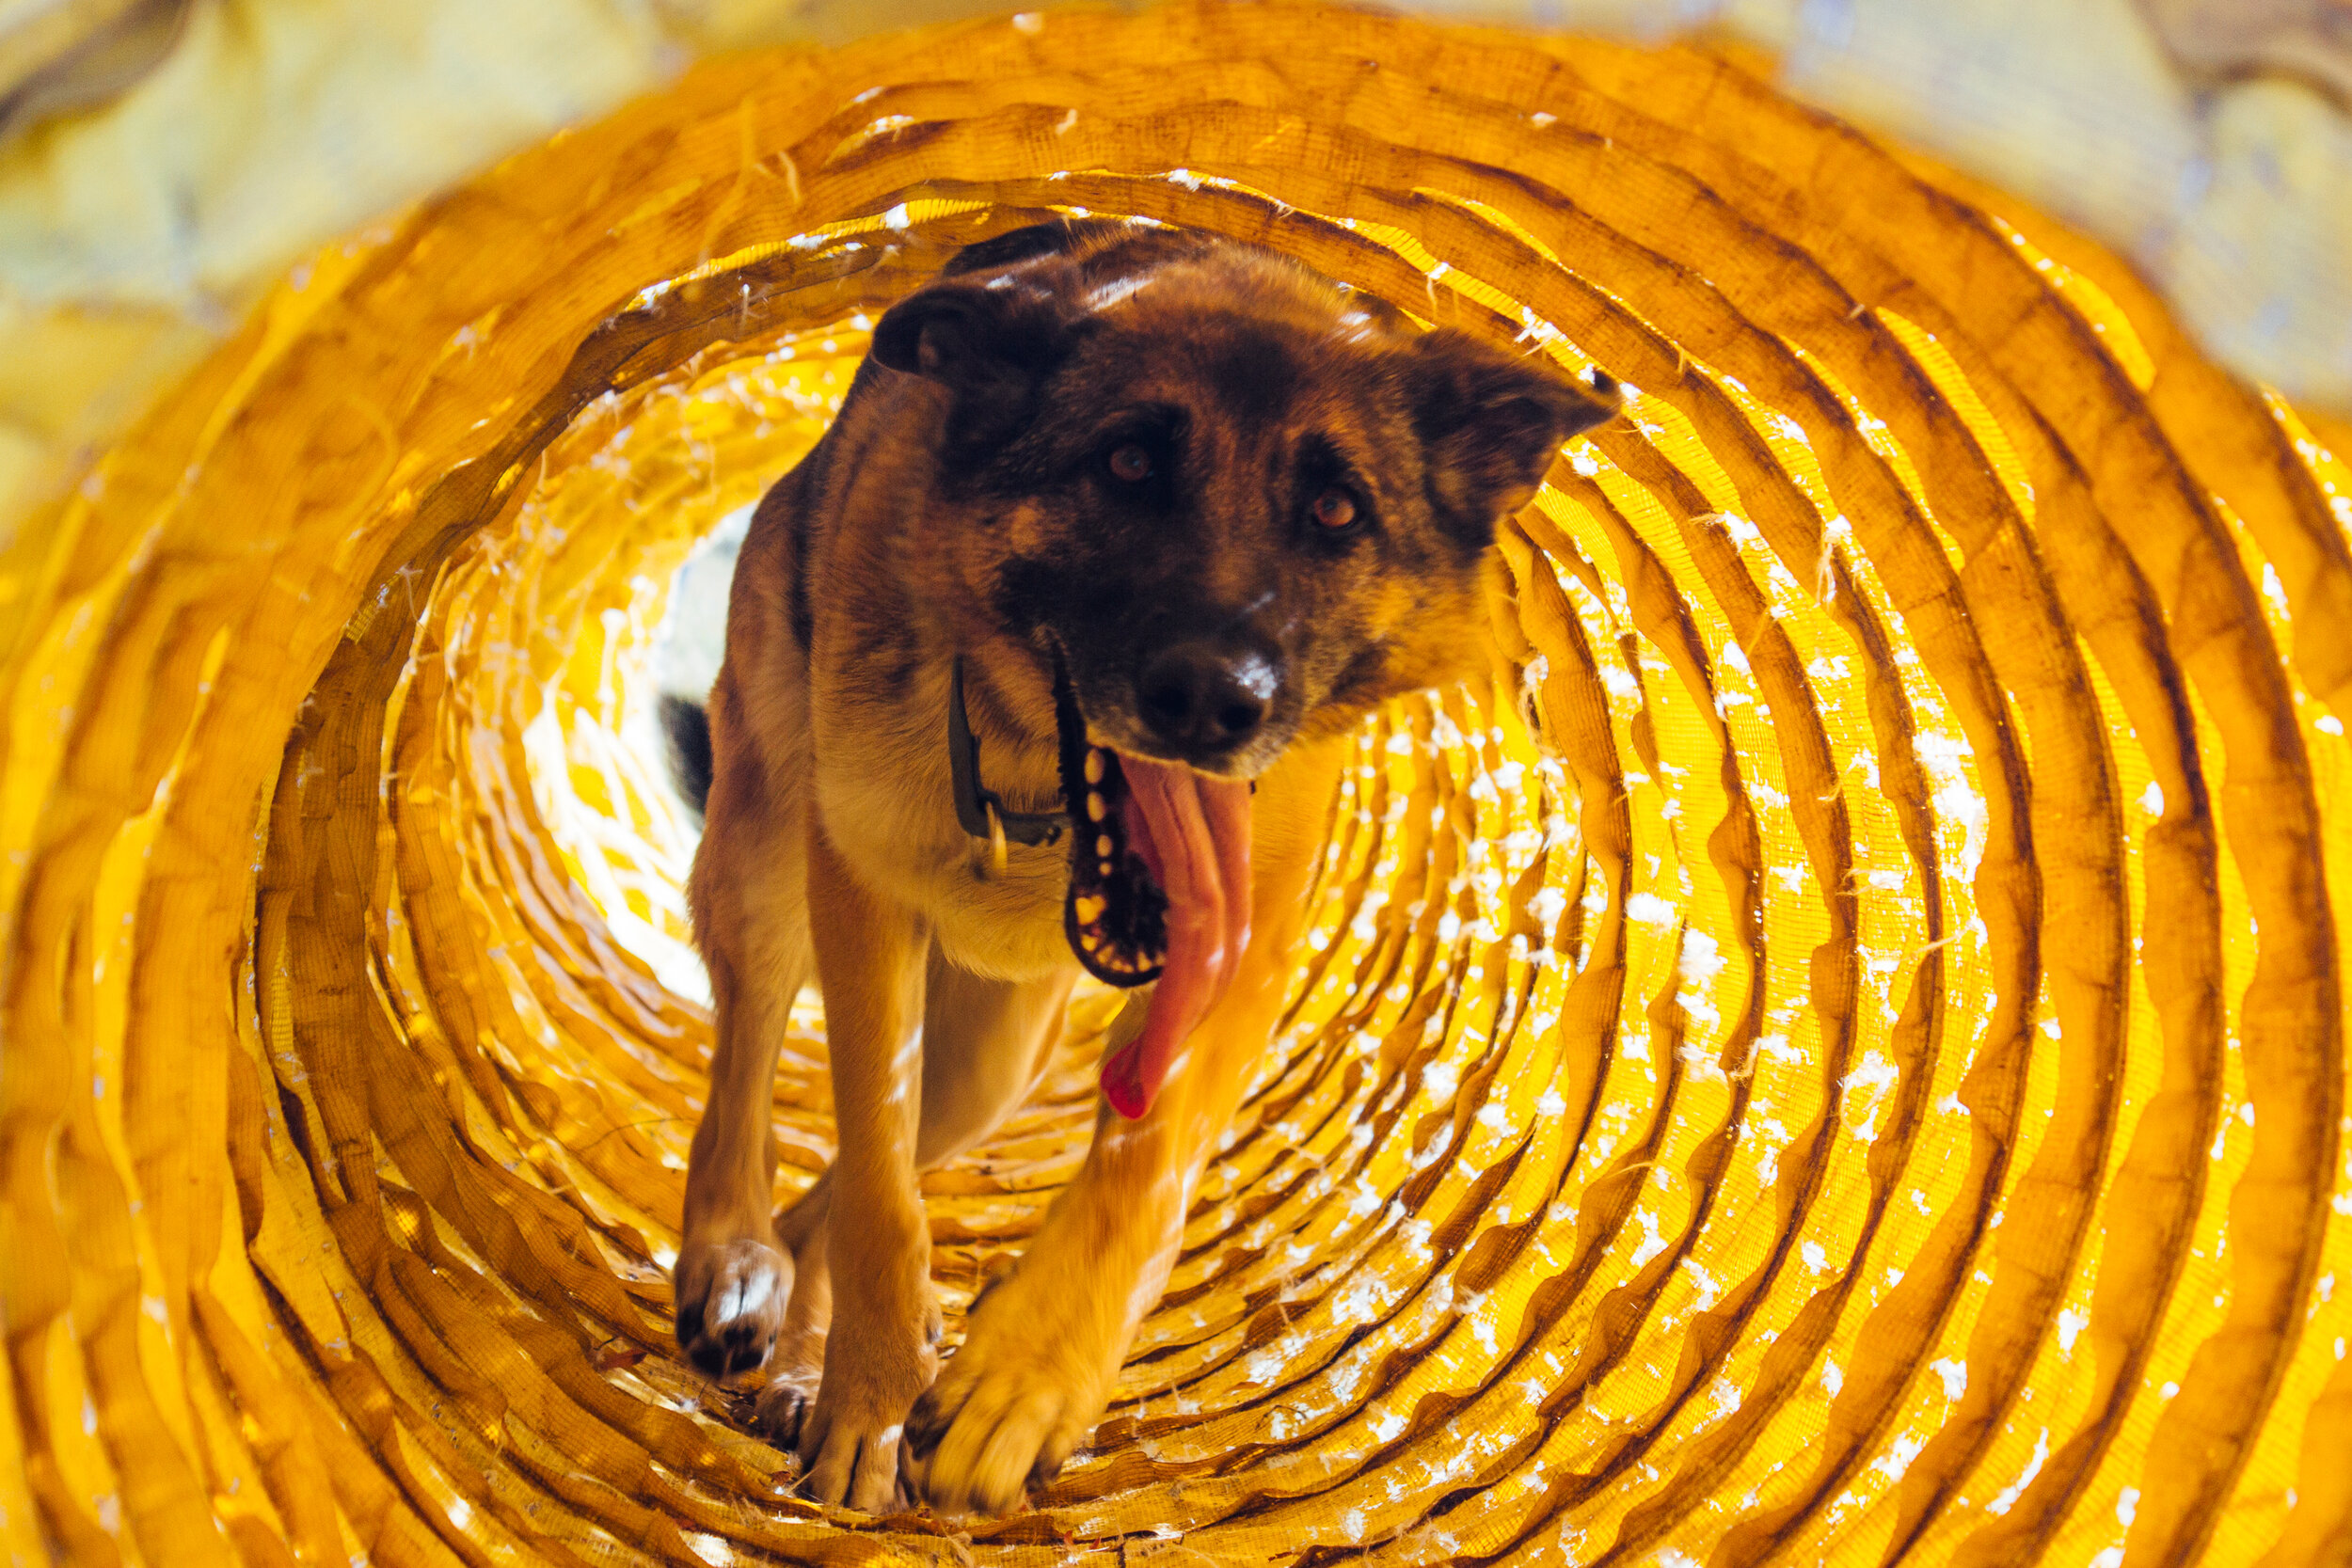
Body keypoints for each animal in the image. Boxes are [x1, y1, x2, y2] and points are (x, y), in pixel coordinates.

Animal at [663, 214, 1618, 1513]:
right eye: (1124, 465)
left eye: (1335, 510)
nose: (1211, 701)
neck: (1032, 790)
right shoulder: (859, 900)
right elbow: (881, 1201)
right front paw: (870, 1398)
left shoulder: (1242, 957)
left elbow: (1143, 1164)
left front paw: (1018, 1378)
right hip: (767, 857)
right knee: (755, 1069)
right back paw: (734, 1259)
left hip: (990, 1067)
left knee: (852, 1176)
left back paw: (812, 1352)